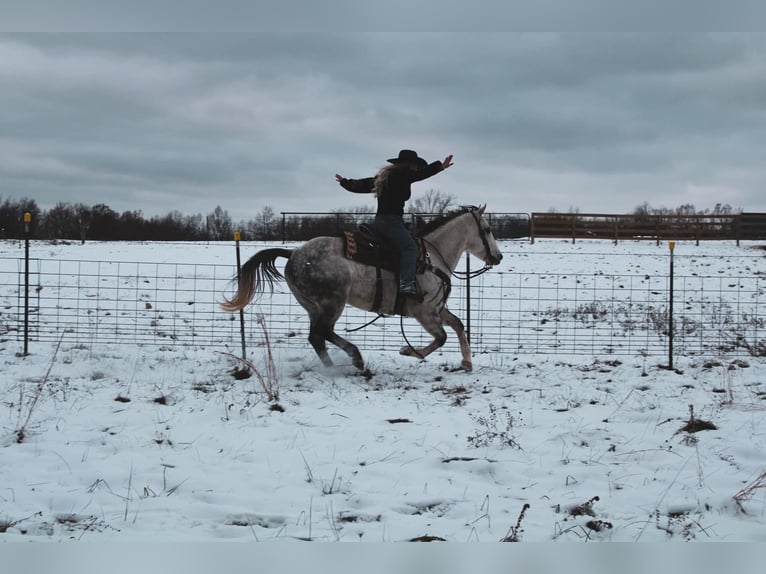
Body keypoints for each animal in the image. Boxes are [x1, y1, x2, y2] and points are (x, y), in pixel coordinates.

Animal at [220, 205, 503, 372]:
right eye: (487, 229)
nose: (498, 257)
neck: (432, 257)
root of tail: (293, 253)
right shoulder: (423, 312)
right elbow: (441, 337)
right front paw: (409, 351)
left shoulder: (436, 309)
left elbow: (458, 325)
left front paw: (467, 362)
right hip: (332, 302)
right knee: (321, 333)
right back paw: (351, 360)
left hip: (313, 305)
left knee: (318, 336)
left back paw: (337, 365)